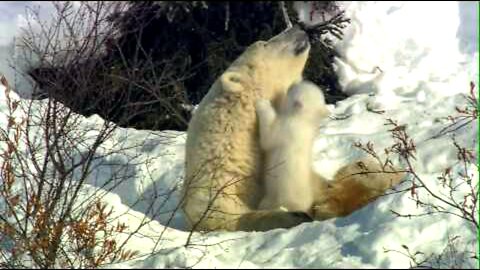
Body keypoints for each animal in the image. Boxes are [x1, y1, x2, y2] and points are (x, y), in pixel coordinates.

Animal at [256, 79, 332, 213]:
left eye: (292, 89)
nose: (294, 82)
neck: (304, 120)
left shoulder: (289, 128)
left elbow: (268, 139)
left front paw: (262, 104)